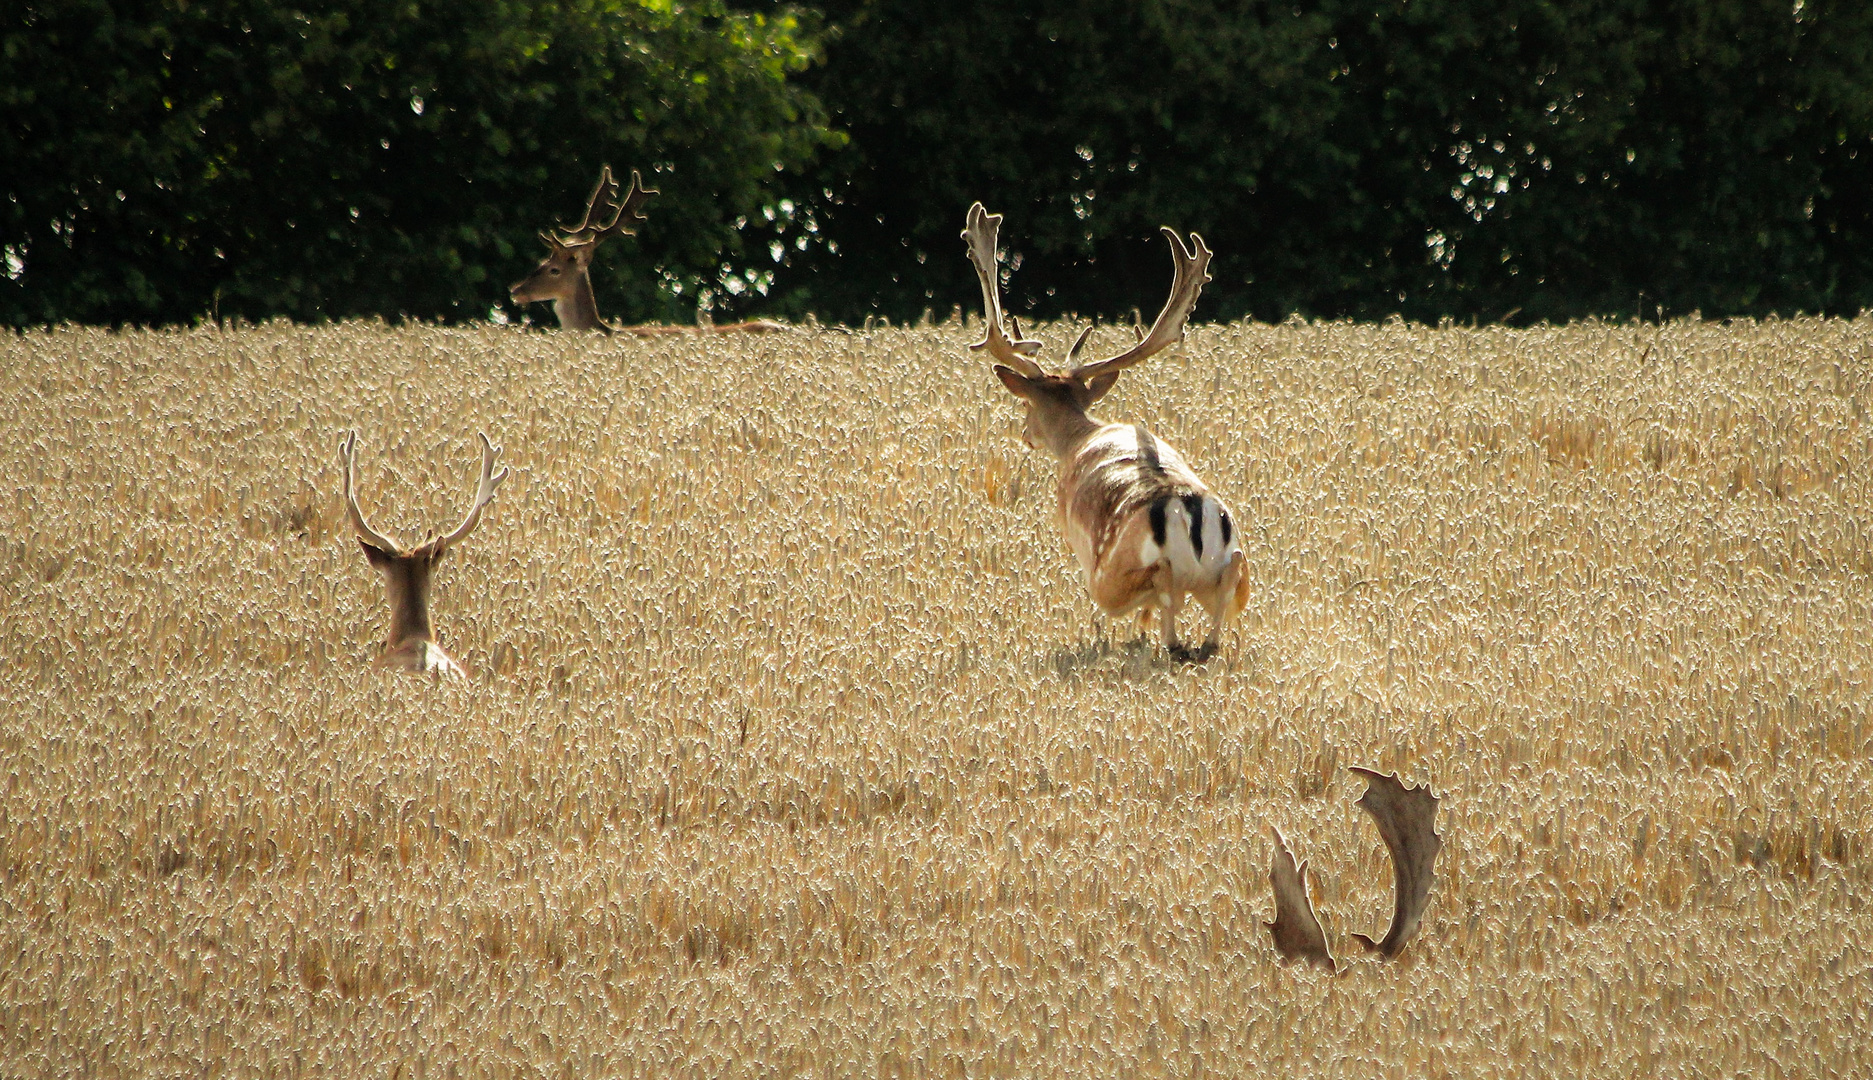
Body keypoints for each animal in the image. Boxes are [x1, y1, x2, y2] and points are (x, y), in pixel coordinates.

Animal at [966, 202, 1243, 658]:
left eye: (1026, 404)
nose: (1026, 435)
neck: (1082, 435)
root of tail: (1191, 513)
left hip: (1107, 572)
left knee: (1158, 594)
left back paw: (1166, 638)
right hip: (1233, 565)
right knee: (1227, 592)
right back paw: (1199, 642)